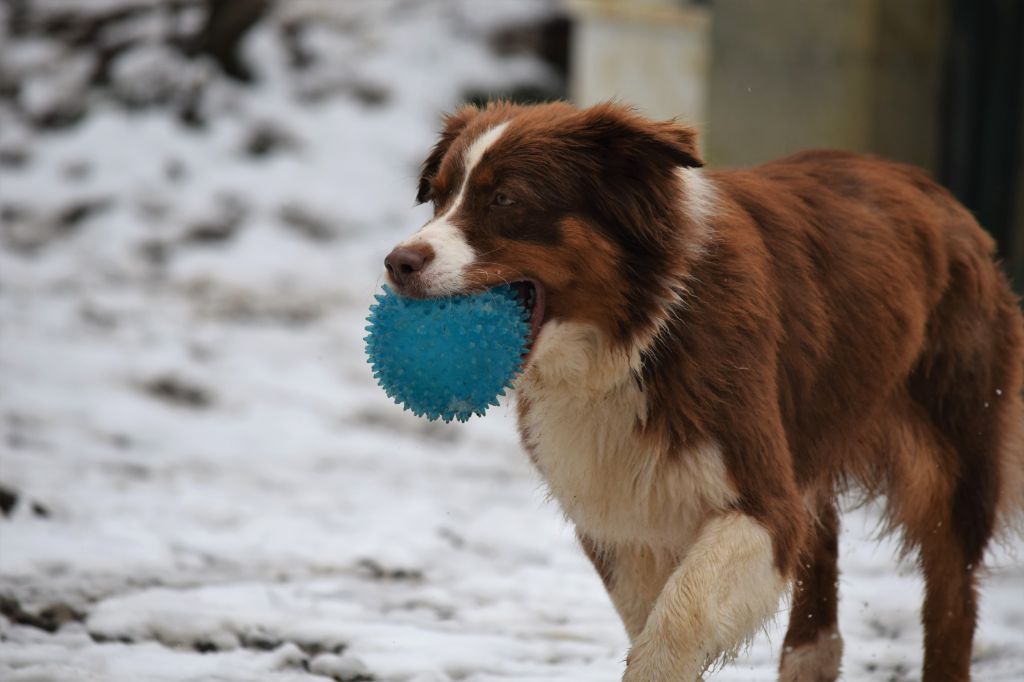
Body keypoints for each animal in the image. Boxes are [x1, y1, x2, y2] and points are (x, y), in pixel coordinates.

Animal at [380, 102, 1019, 679]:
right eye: (438, 197)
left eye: (505, 200)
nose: (397, 263)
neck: (635, 341)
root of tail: (937, 192)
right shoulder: (621, 512)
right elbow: (651, 613)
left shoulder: (757, 489)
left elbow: (680, 617)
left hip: (955, 447)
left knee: (952, 593)